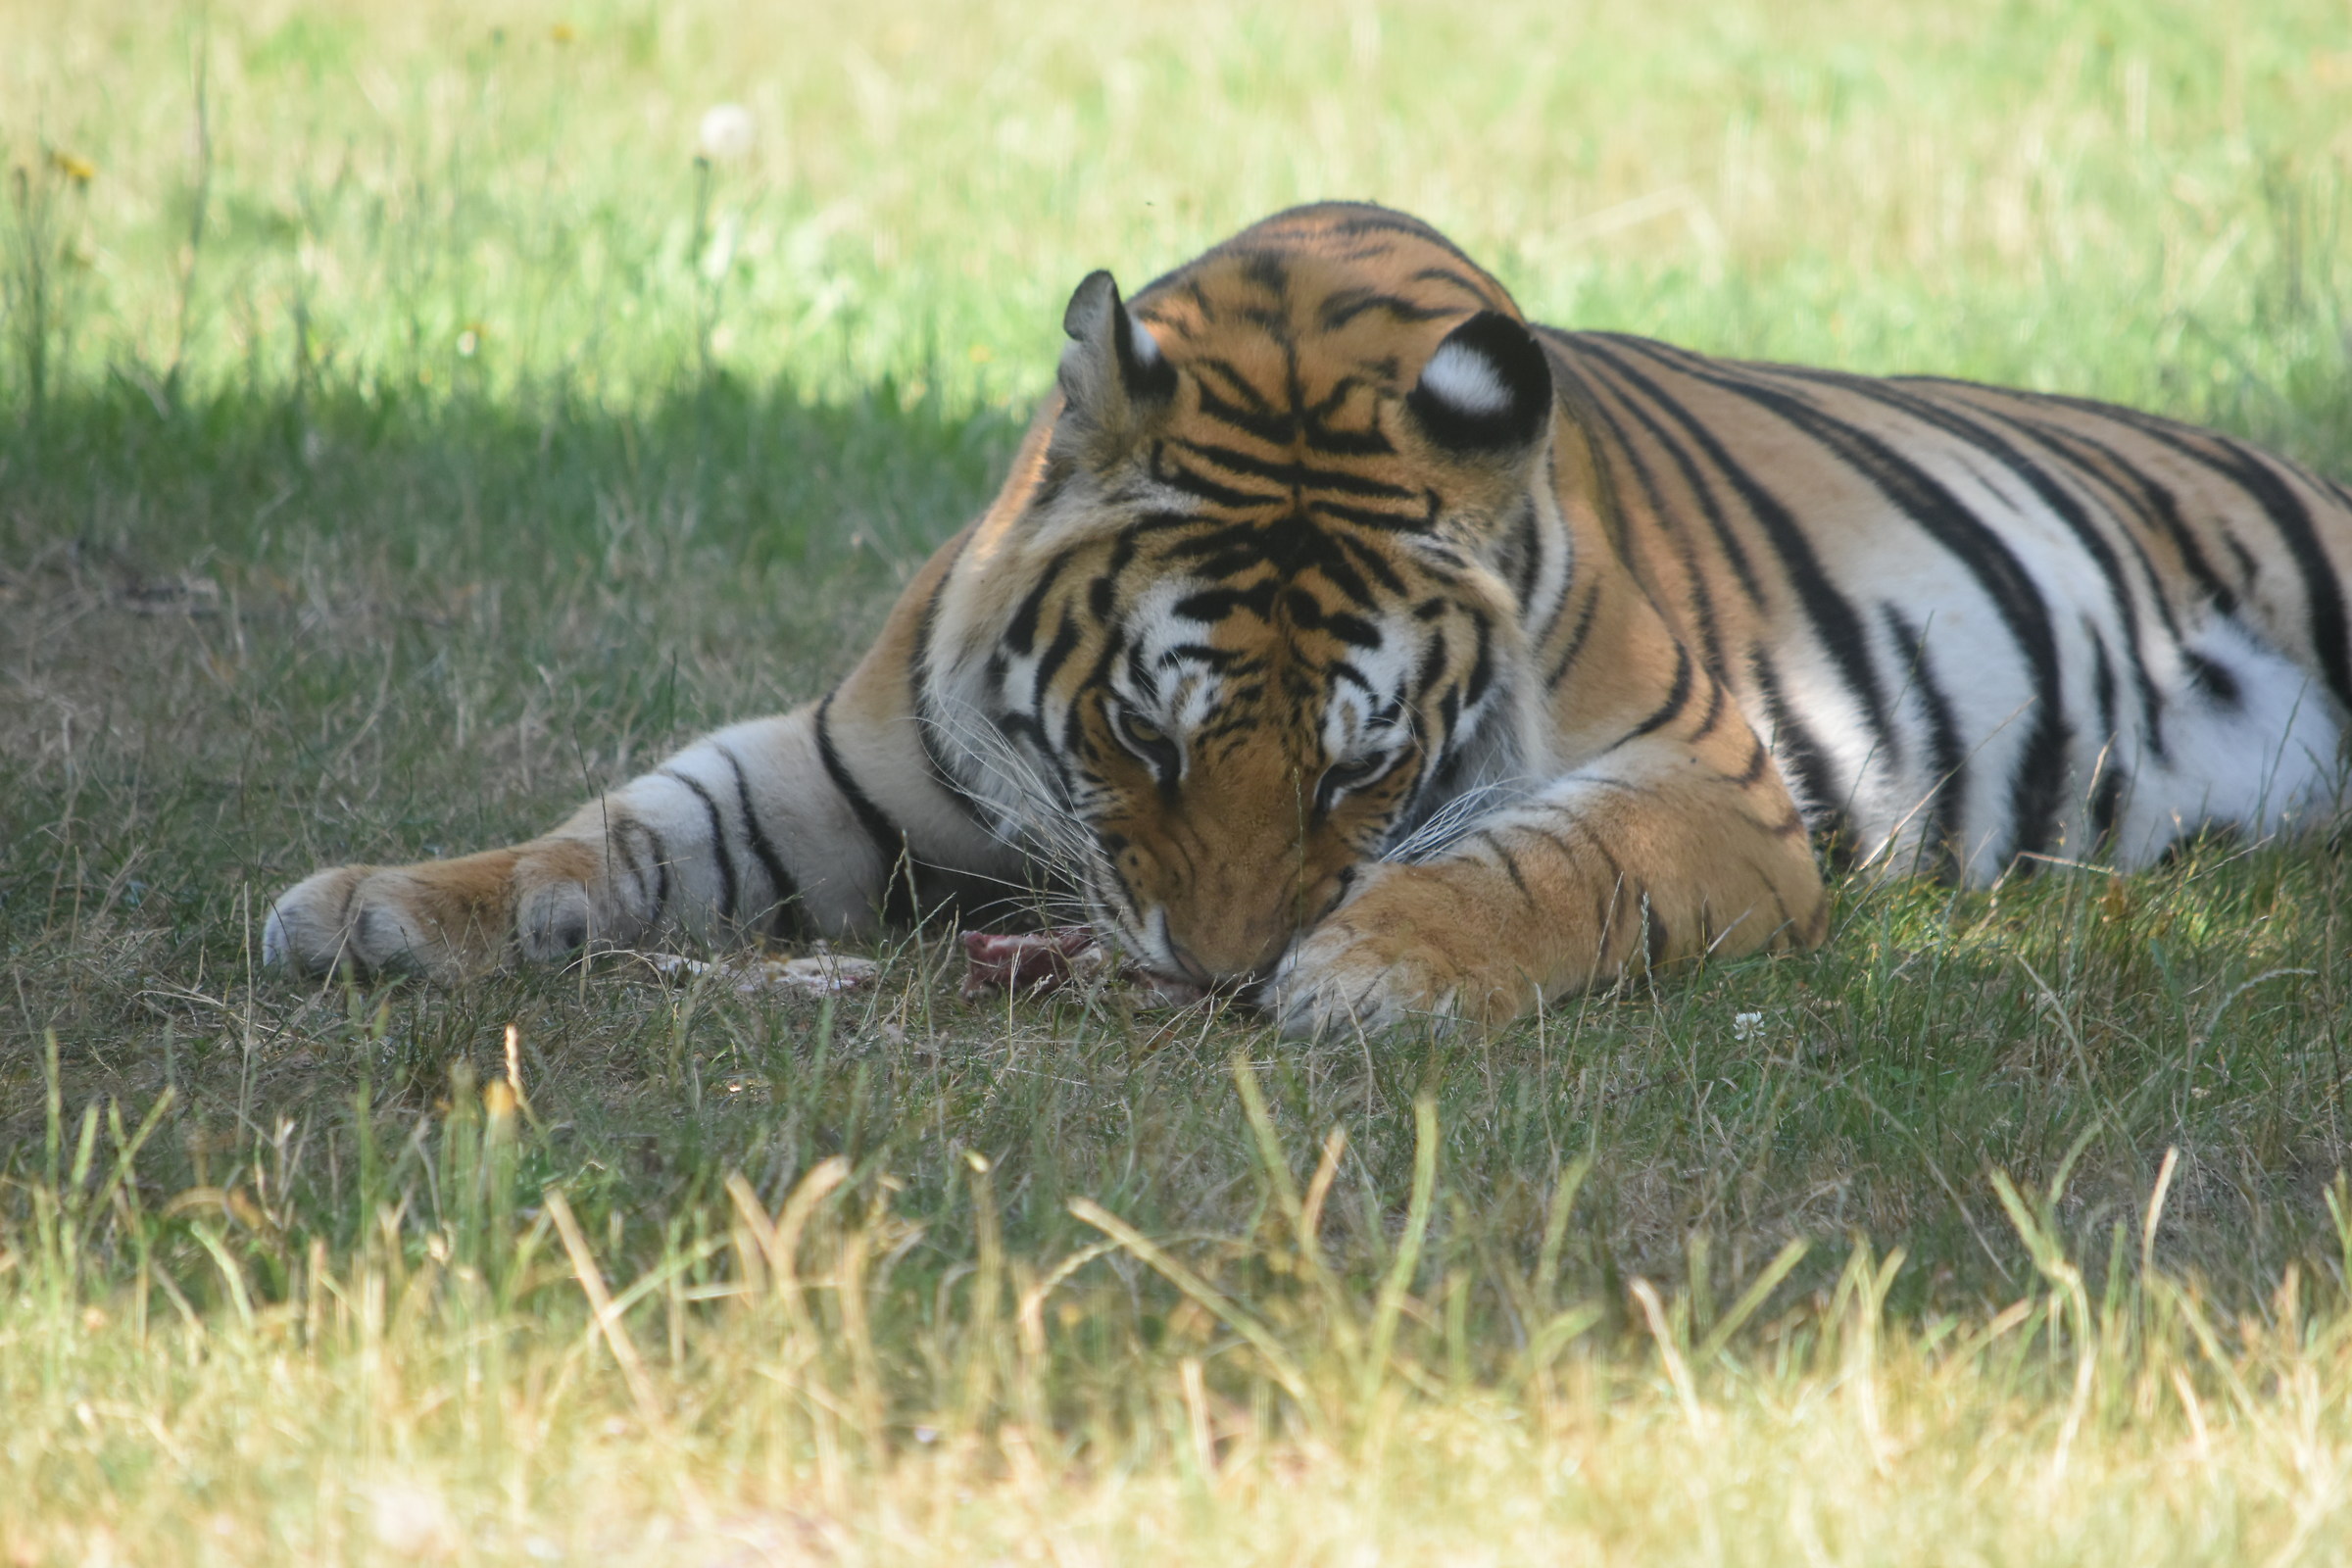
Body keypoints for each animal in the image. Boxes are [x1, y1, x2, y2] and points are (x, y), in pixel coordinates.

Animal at [264, 202, 2352, 1035]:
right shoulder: (851, 768)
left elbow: (1547, 867)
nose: (1213, 983)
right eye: (1142, 735)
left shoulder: (1713, 786)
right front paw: (381, 905)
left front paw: (1377, 966)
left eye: (1360, 777)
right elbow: (630, 826)